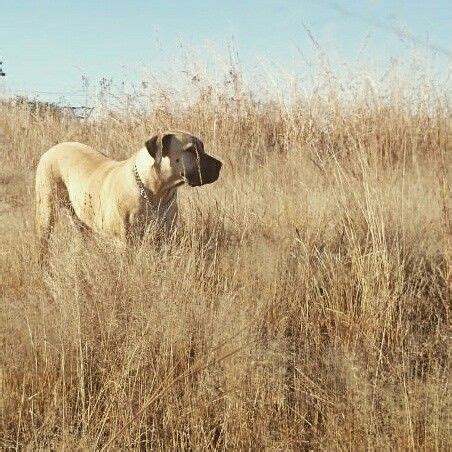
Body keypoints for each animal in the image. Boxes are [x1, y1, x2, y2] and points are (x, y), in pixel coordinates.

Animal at [34, 131, 222, 260]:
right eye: (191, 150)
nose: (220, 164)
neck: (156, 193)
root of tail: (52, 149)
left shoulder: (165, 238)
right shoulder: (124, 243)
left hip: (80, 217)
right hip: (46, 212)